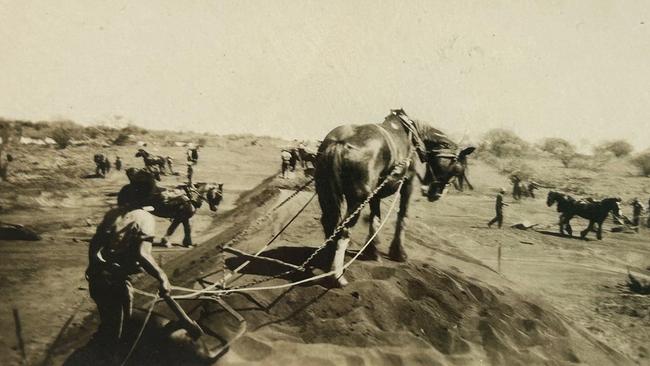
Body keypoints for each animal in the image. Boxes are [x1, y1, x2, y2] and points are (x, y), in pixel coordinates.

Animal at [316, 108, 474, 286]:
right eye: (457, 170)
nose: (436, 193)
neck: (412, 135)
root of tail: (340, 142)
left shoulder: (375, 192)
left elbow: (375, 219)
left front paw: (372, 251)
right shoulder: (408, 182)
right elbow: (402, 216)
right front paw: (399, 253)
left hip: (325, 192)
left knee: (329, 223)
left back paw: (327, 263)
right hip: (358, 199)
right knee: (343, 230)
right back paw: (337, 276)